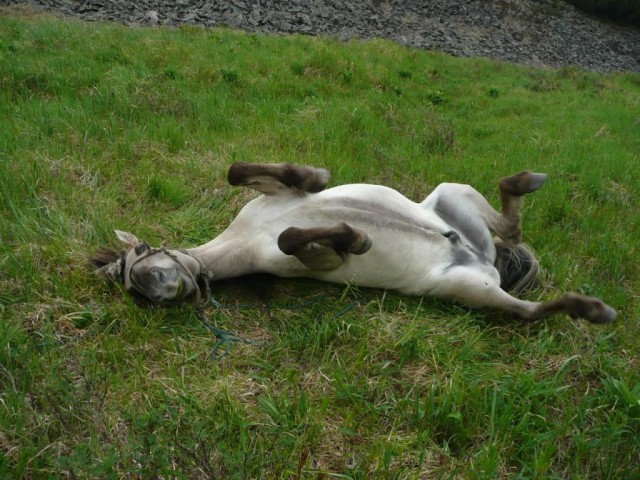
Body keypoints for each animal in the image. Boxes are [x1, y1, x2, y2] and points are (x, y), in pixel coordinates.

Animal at [91, 162, 617, 323]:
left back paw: (527, 181)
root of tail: (479, 259)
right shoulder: (312, 261)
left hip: (452, 192)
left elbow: (247, 174)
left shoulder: (280, 191)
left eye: (140, 256)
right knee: (526, 308)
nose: (164, 287)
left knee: (511, 229)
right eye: (135, 288)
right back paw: (592, 309)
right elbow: (295, 239)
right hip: (468, 288)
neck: (243, 241)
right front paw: (358, 240)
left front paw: (326, 190)